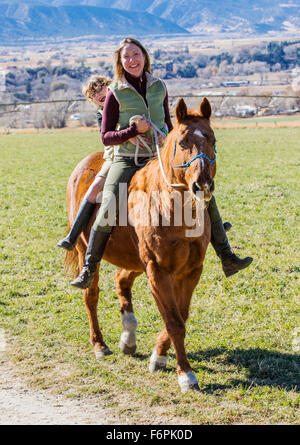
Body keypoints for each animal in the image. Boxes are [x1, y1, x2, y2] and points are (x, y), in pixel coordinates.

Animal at [64, 98, 217, 392]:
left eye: (213, 140)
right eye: (182, 143)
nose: (202, 184)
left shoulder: (191, 270)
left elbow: (181, 315)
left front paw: (159, 356)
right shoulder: (158, 271)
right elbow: (174, 321)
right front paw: (185, 374)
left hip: (134, 260)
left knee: (121, 281)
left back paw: (128, 337)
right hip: (87, 250)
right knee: (91, 295)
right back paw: (100, 344)